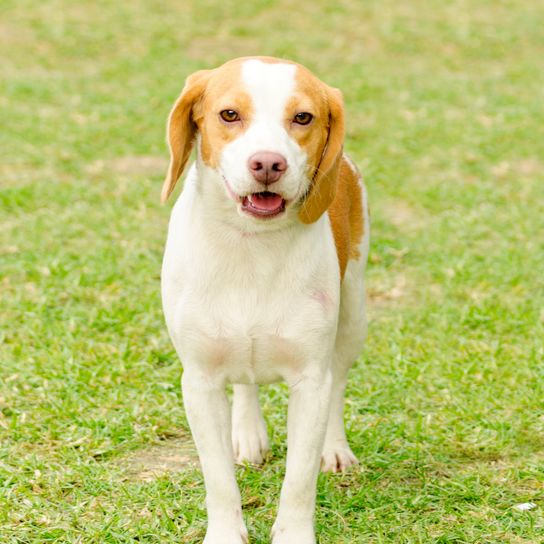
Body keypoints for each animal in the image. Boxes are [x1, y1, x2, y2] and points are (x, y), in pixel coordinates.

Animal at [159, 56, 368, 544]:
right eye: (229, 114)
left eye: (303, 117)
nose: (268, 163)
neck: (251, 246)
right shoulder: (199, 382)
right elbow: (218, 479)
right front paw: (224, 533)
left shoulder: (310, 381)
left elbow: (300, 478)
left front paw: (293, 533)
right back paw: (248, 433)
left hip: (353, 318)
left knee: (337, 384)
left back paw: (335, 448)